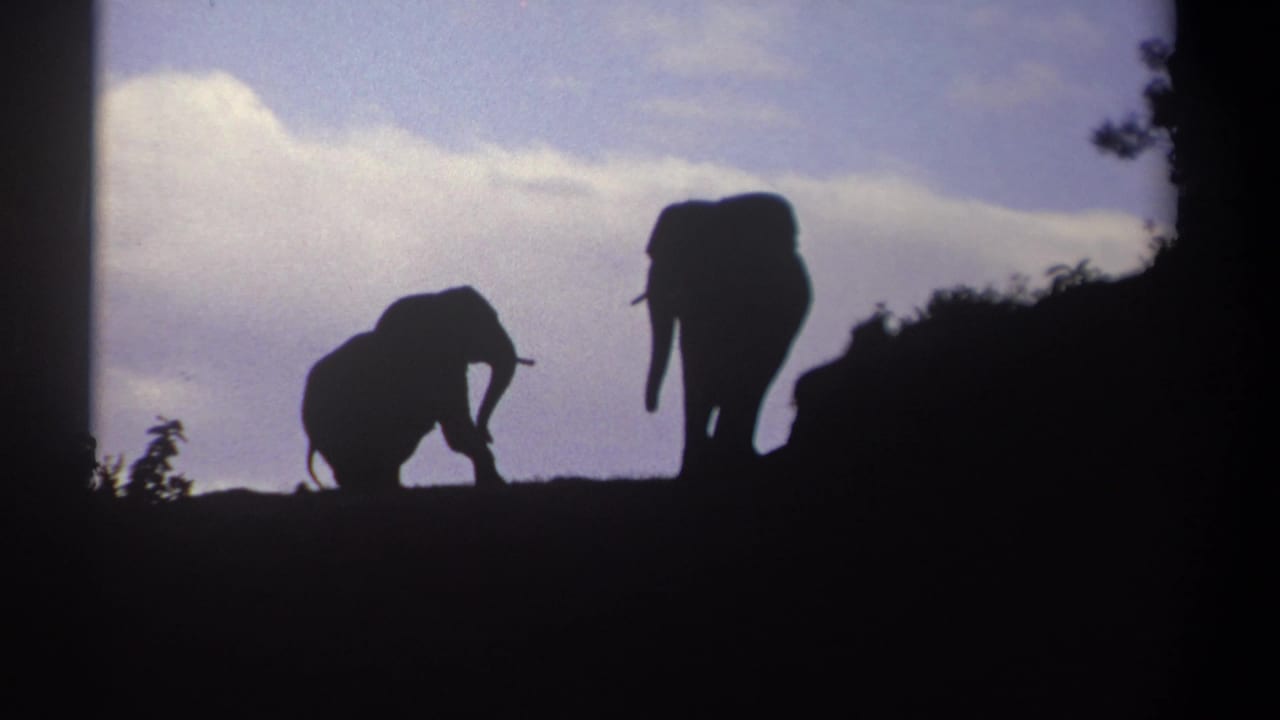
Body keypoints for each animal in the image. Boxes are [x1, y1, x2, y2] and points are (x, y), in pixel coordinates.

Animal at [301, 286, 532, 491]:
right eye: (484, 323)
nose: (489, 436)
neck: (437, 300)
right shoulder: (437, 369)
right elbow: (457, 430)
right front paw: (497, 484)